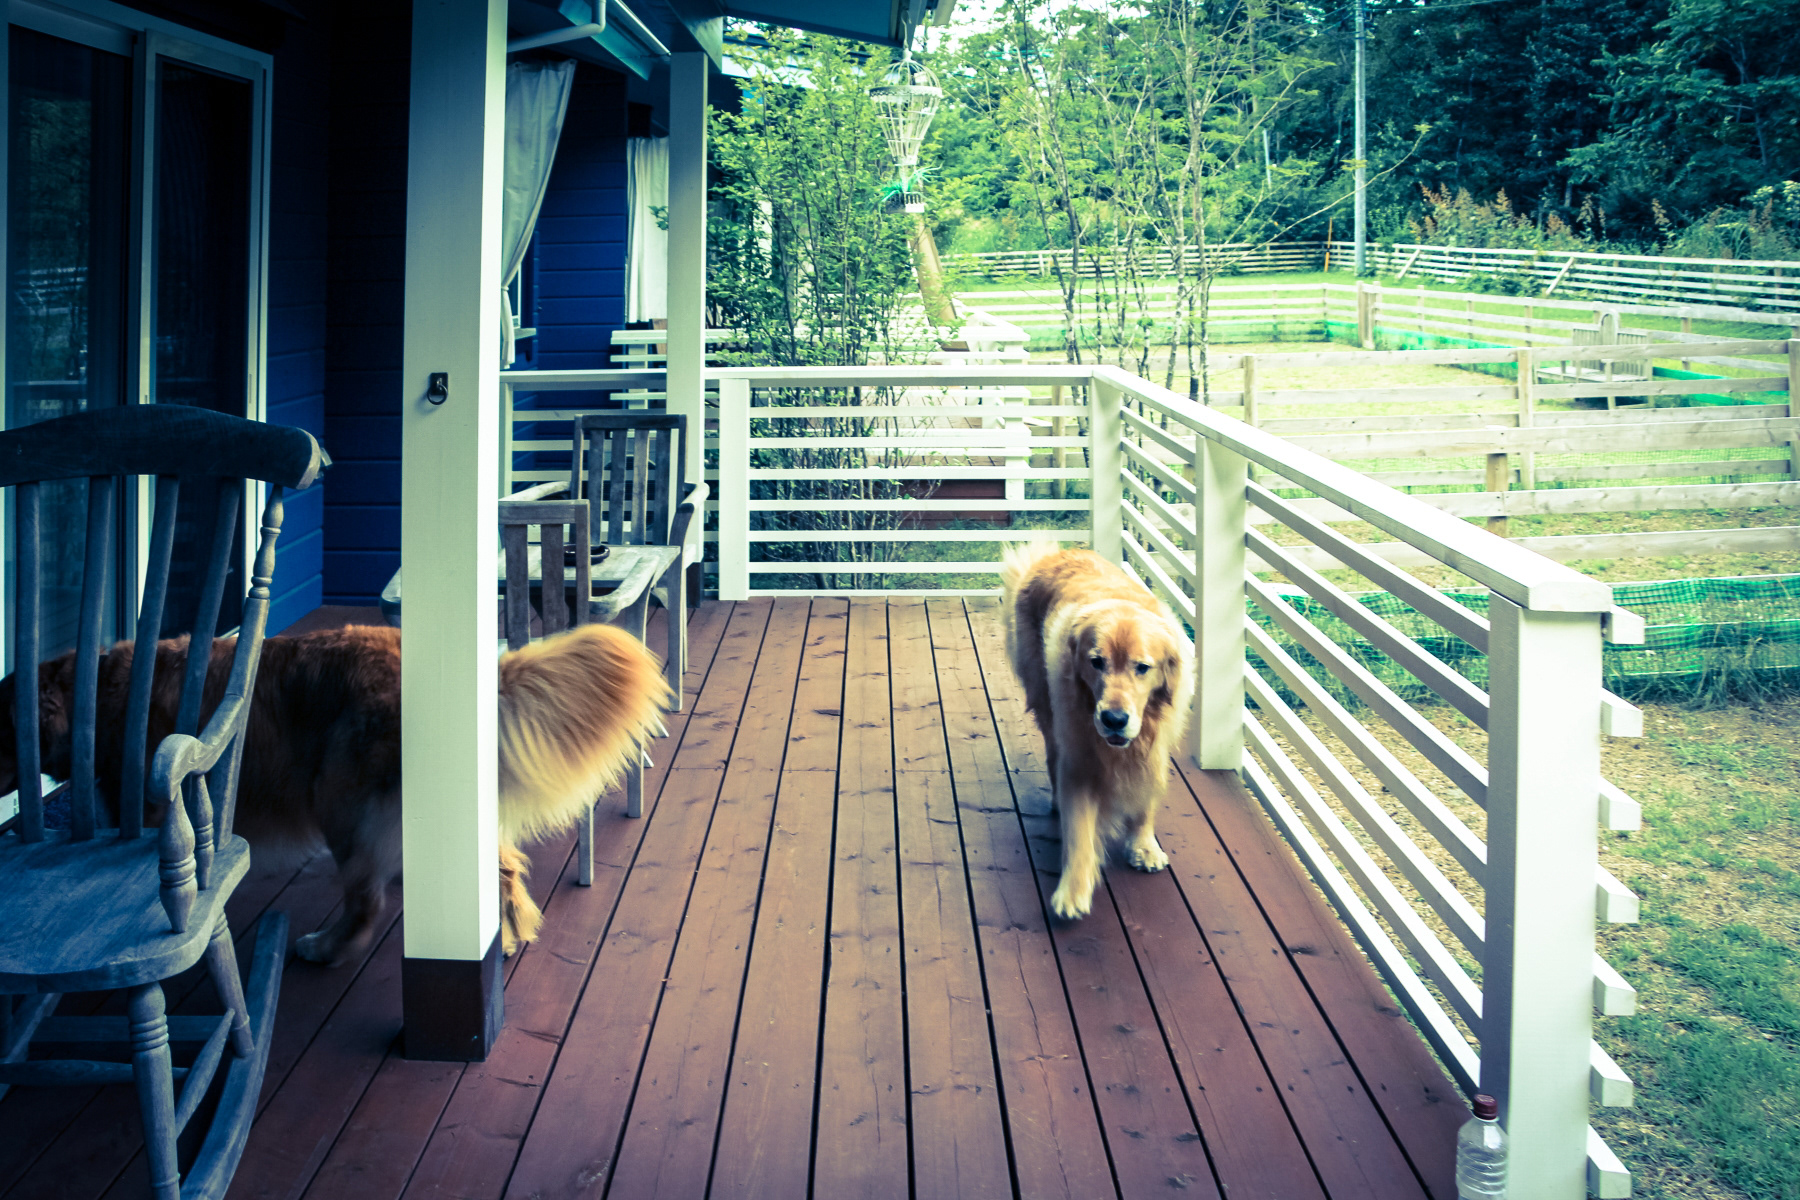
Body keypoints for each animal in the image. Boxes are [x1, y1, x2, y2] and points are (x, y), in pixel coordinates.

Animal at [0, 622, 670, 965]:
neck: (99, 696)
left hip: (339, 803)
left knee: (366, 903)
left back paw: (323, 948)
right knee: (499, 870)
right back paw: (505, 937)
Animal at [1001, 544, 1194, 921]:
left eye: (1142, 667)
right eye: (1096, 662)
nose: (1114, 719)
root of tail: (1052, 554)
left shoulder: (1154, 749)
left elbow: (1145, 797)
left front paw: (1143, 845)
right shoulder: (1079, 759)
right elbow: (1079, 829)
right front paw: (1073, 889)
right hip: (1046, 703)